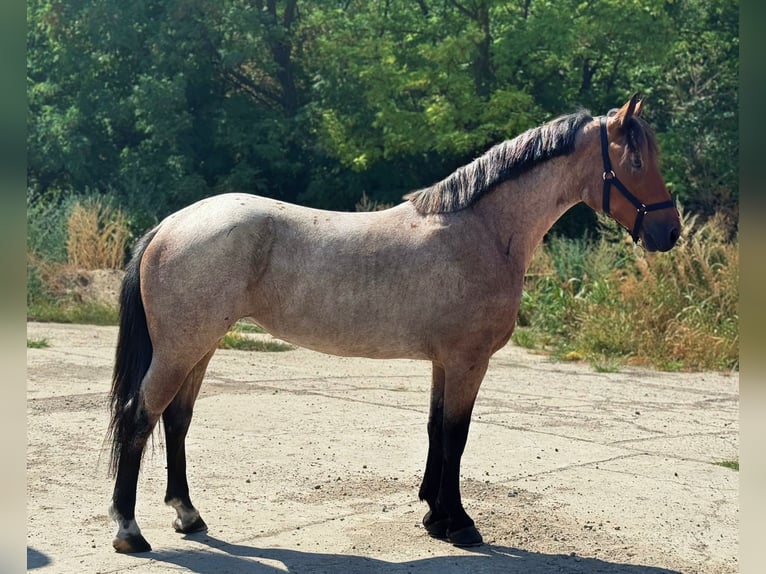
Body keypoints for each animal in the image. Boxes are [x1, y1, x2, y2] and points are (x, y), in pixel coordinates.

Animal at [107, 95, 680, 553]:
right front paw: (459, 523)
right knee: (140, 416)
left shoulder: (444, 362)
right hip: (181, 348)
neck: (483, 229)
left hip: (200, 347)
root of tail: (170, 223)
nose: (669, 231)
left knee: (176, 420)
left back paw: (188, 514)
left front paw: (433, 514)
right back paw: (130, 531)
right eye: (634, 159)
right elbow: (456, 435)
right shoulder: (468, 361)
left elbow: (436, 428)